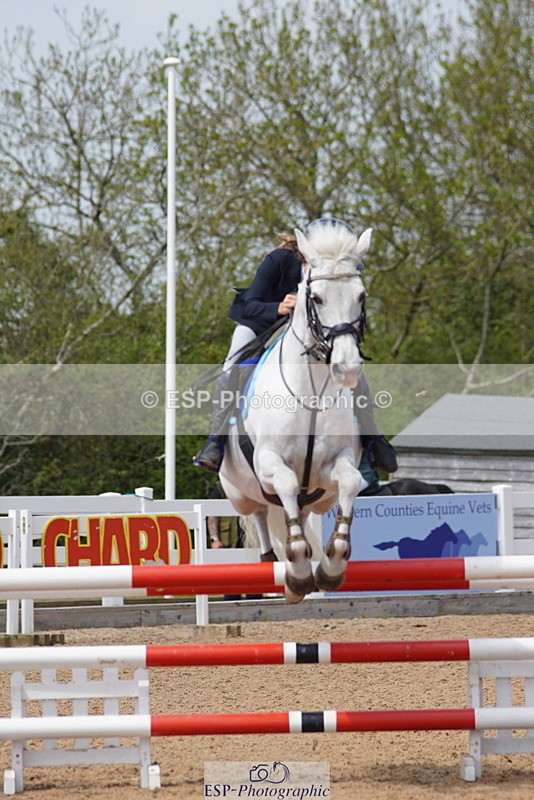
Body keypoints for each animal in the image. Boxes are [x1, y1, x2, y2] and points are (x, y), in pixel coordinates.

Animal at [220, 221, 372, 603]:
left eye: (361, 296)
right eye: (315, 298)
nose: (347, 368)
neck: (312, 393)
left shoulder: (335, 463)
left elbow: (351, 481)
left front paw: (331, 565)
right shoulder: (269, 463)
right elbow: (286, 481)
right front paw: (300, 573)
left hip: (316, 500)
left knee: (299, 512)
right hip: (239, 493)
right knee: (261, 513)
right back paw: (277, 567)